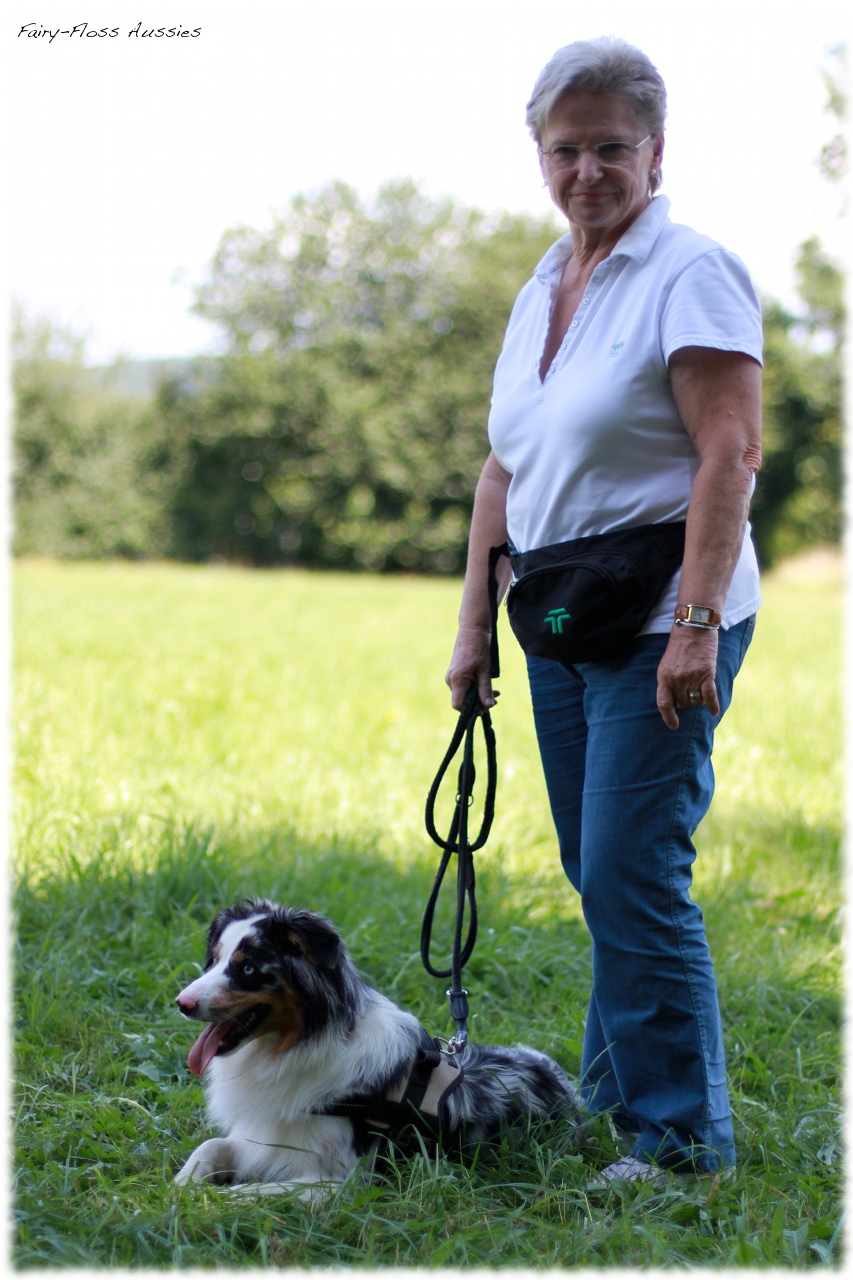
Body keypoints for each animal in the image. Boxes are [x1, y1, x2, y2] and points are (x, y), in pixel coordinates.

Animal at [174, 901, 584, 1187]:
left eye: (247, 969)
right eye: (214, 961)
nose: (181, 1003)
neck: (295, 1044)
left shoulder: (334, 1183)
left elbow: (250, 1196)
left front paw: (211, 1202)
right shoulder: (257, 1137)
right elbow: (210, 1147)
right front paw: (181, 1190)